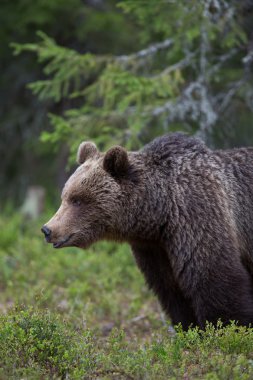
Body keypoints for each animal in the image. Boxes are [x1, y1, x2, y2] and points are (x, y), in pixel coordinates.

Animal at [41, 134, 253, 330]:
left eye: (77, 200)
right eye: (64, 197)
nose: (47, 229)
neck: (160, 214)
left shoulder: (197, 217)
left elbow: (215, 281)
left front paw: (227, 329)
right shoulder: (154, 249)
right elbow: (171, 292)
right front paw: (189, 329)